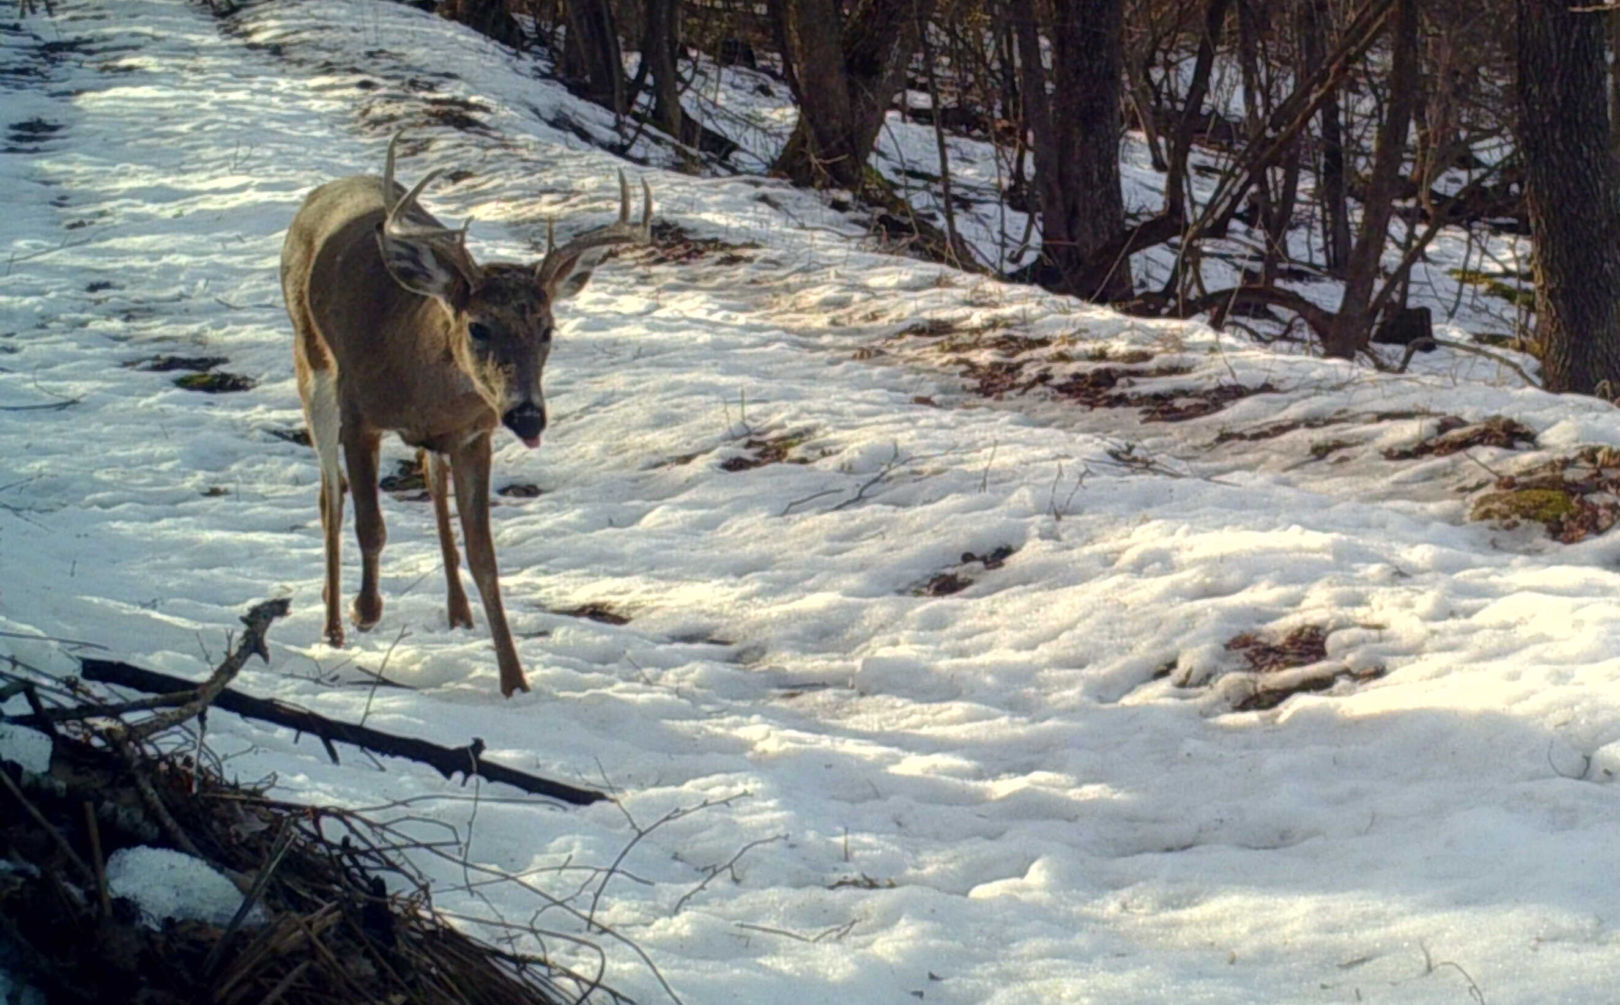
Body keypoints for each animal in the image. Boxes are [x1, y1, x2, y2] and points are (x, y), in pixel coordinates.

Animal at [280, 133, 651, 693]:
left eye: (548, 329)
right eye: (478, 326)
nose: (527, 416)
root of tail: (318, 195)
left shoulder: (475, 434)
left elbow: (485, 558)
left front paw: (515, 681)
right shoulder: (359, 414)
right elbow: (371, 524)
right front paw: (366, 610)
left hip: (436, 439)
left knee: (433, 487)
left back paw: (458, 613)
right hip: (312, 366)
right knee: (331, 496)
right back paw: (334, 626)